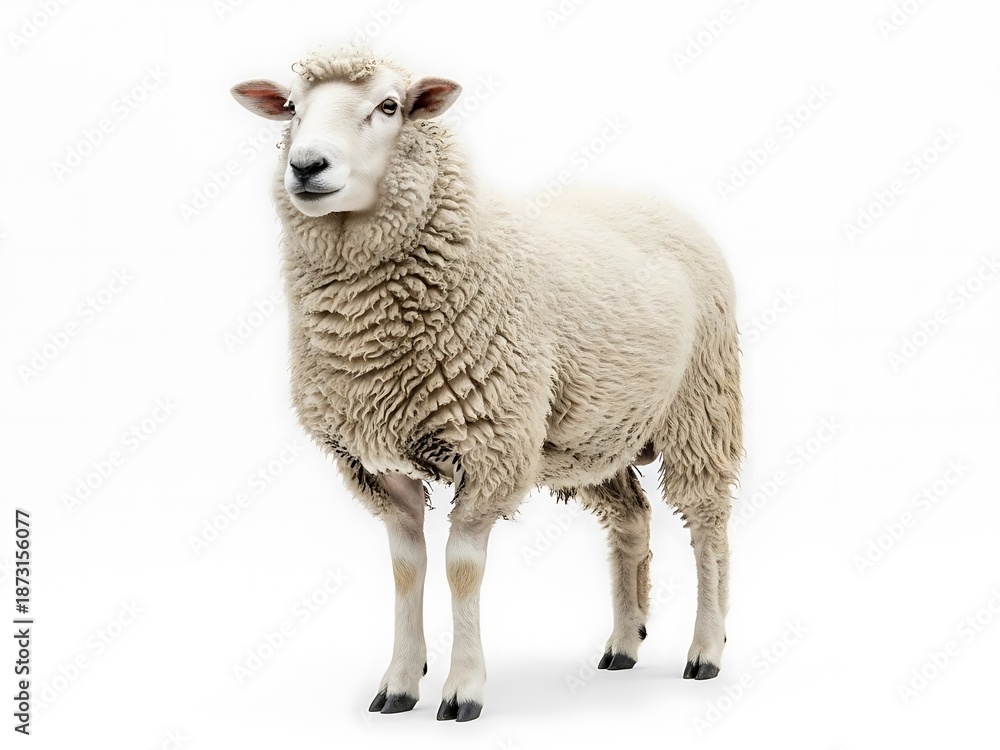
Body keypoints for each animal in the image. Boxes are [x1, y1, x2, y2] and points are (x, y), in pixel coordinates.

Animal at [231, 45, 742, 723]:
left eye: (389, 106)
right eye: (290, 106)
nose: (307, 165)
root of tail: (653, 199)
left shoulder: (492, 446)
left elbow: (461, 568)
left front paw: (463, 689)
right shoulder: (377, 460)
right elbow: (407, 568)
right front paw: (399, 683)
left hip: (701, 407)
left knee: (707, 525)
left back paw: (706, 650)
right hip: (595, 432)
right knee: (632, 519)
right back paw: (624, 643)